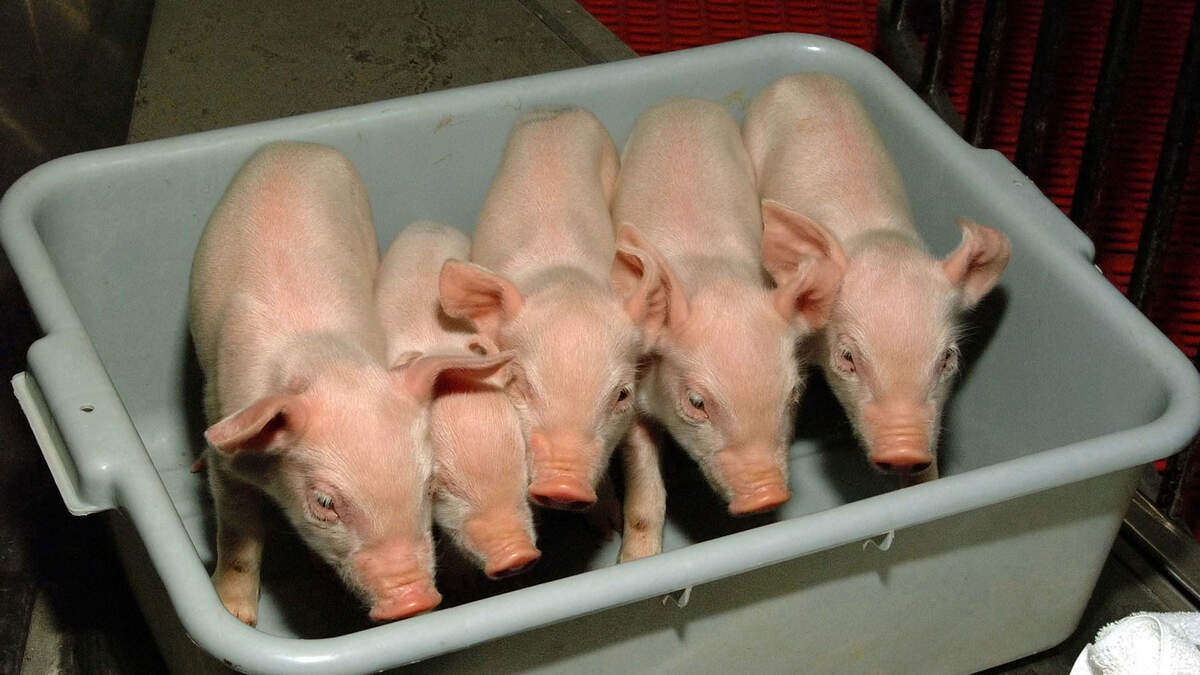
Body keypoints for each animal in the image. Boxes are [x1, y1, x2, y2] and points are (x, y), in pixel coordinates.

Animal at [189, 141, 510, 624]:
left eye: (428, 484)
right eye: (324, 503)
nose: (414, 601)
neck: (326, 363)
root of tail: (297, 145)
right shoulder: (226, 449)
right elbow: (238, 533)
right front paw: (235, 616)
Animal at [610, 99, 843, 561]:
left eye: (793, 393)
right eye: (696, 402)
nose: (767, 495)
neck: (714, 279)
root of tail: (681, 101)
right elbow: (644, 489)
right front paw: (635, 560)